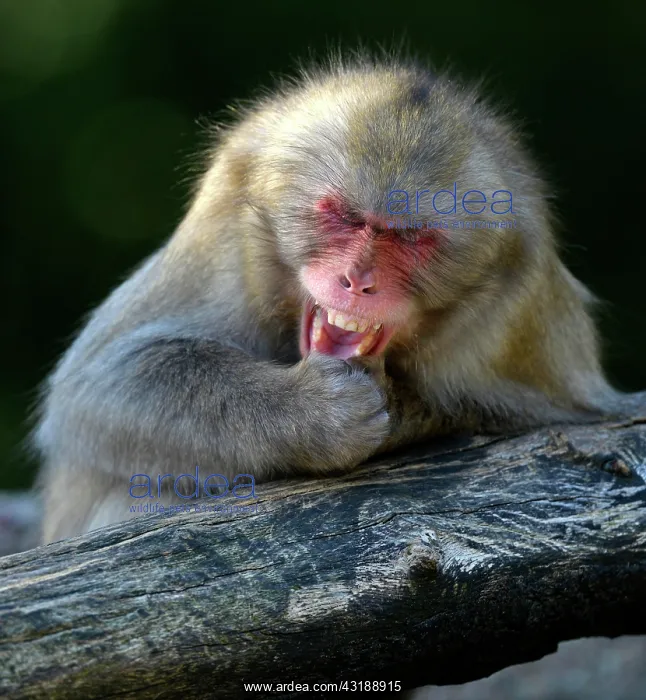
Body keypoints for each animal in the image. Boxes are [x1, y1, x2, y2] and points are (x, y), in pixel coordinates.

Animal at [33, 52, 621, 544]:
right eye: (344, 216)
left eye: (410, 238)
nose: (356, 281)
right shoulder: (223, 245)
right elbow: (99, 387)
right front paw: (313, 414)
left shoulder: (515, 324)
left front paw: (405, 410)